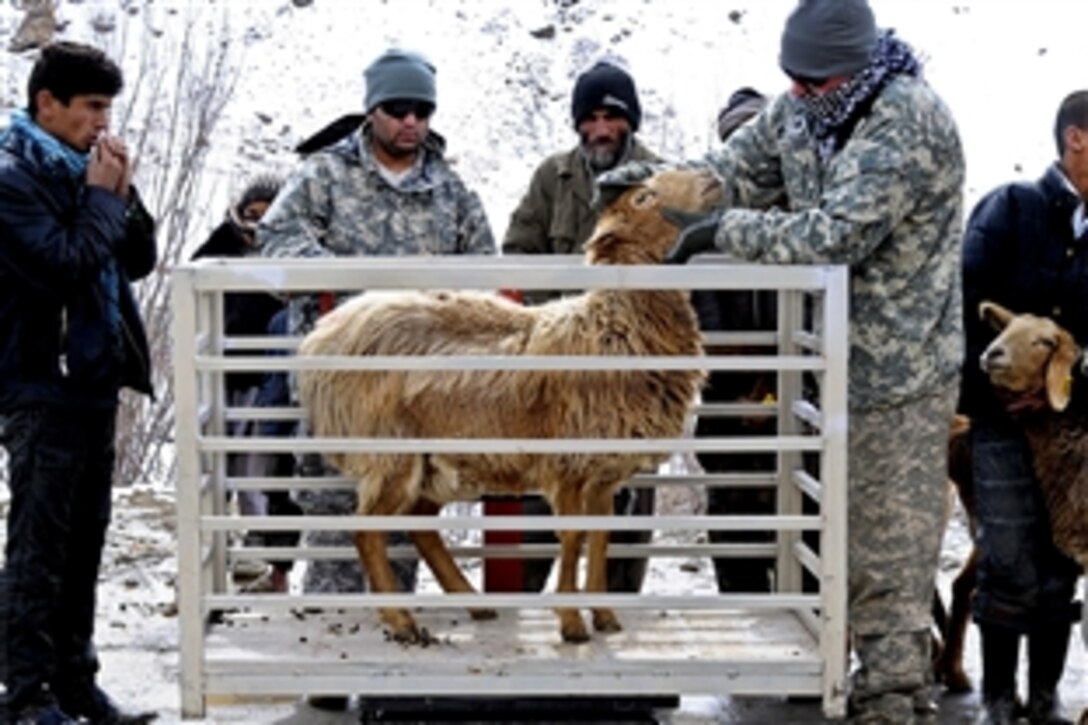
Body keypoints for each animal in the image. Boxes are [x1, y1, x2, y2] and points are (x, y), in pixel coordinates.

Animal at [298, 169, 722, 644]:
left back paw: (472, 603)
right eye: (644, 196)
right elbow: (572, 539)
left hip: (438, 464)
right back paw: (402, 621)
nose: (711, 176)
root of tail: (325, 333)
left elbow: (599, 539)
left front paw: (605, 616)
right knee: (367, 530)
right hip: (389, 452)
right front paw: (571, 623)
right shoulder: (569, 466)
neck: (615, 326)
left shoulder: (603, 474)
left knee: (420, 524)